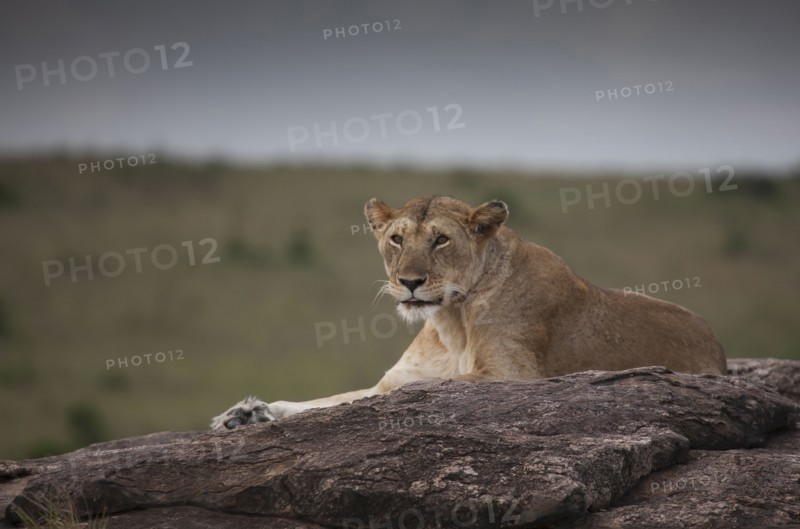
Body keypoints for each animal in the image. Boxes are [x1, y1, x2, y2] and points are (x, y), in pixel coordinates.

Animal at [211, 195, 726, 430]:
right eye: (396, 239)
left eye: (441, 239)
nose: (410, 282)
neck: (450, 321)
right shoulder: (390, 382)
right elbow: (335, 401)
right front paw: (246, 414)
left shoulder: (515, 375)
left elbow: (409, 393)